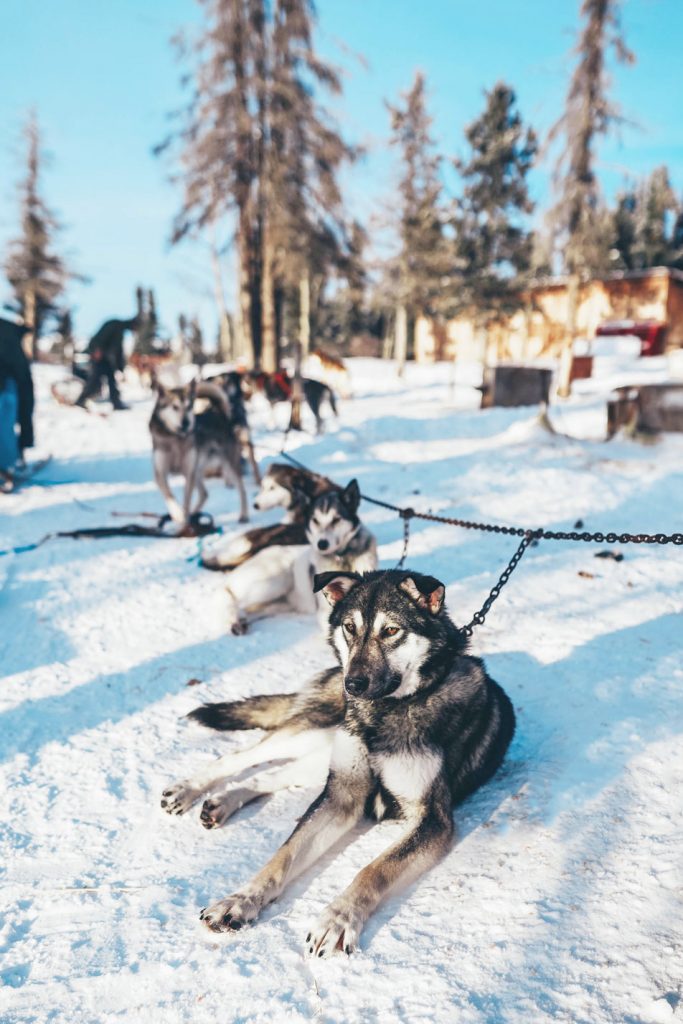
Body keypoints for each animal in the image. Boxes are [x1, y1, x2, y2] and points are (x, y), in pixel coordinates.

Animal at [148, 380, 249, 532]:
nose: (186, 423)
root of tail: (219, 413)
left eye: (189, 407)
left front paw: (183, 519)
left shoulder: (188, 472)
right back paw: (193, 516)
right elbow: (169, 495)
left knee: (241, 489)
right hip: (197, 470)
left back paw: (243, 515)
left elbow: (186, 501)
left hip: (228, 465)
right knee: (204, 494)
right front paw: (178, 514)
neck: (175, 437)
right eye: (175, 407)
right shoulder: (160, 472)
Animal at [161, 573, 511, 954]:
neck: (384, 713)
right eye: (349, 627)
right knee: (241, 757)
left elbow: (374, 869)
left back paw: (223, 802)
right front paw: (240, 900)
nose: (353, 685)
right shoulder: (342, 794)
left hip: (318, 755)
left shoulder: (432, 819)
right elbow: (284, 855)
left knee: (271, 777)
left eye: (391, 631)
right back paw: (188, 789)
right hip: (313, 732)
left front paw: (338, 918)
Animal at [216, 477, 378, 634]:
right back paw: (235, 621)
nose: (322, 544)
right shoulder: (326, 613)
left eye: (336, 519)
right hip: (275, 581)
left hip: (276, 603)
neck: (343, 557)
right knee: (232, 600)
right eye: (315, 520)